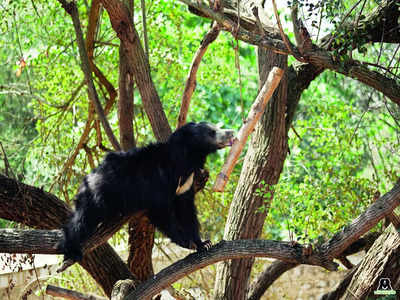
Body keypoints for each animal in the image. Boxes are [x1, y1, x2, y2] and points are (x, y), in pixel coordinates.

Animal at [59, 122, 234, 262]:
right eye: (212, 132)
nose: (231, 132)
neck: (185, 161)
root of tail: (88, 177)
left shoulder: (185, 184)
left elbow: (186, 209)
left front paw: (203, 243)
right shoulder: (157, 181)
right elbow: (161, 212)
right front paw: (186, 241)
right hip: (98, 196)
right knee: (82, 220)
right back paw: (72, 250)